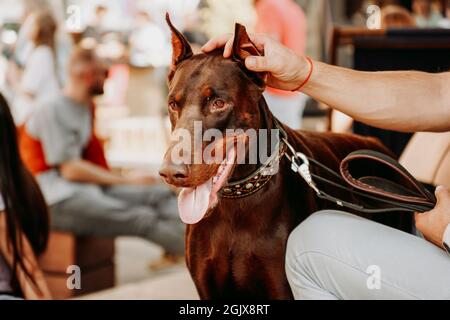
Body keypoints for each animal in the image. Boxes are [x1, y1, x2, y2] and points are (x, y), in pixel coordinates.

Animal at [160, 15, 414, 300]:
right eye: (173, 104)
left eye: (218, 103)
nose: (170, 172)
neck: (237, 201)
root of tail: (379, 146)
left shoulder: (281, 287)